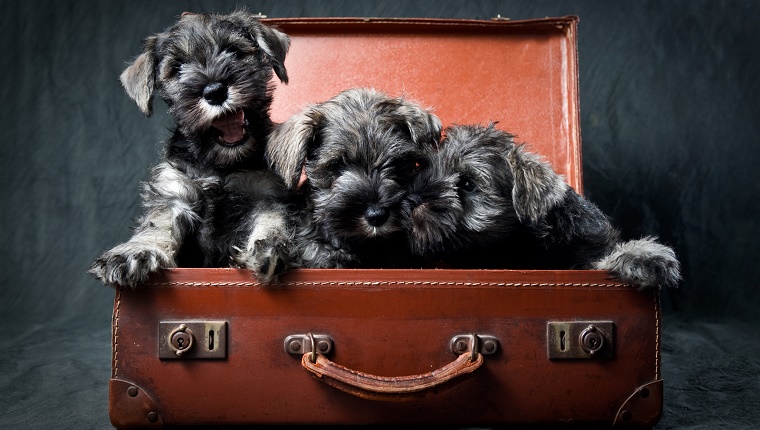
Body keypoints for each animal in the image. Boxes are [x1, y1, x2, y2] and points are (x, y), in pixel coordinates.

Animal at [88, 10, 290, 288]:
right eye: (177, 68)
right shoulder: (174, 193)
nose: (214, 91)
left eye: (234, 51)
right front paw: (135, 253)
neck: (219, 164)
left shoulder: (264, 193)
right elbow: (157, 225)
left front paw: (267, 248)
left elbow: (271, 220)